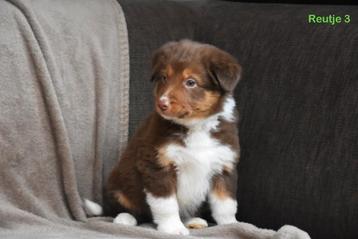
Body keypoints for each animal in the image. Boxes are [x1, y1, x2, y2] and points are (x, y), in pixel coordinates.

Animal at [85, 39, 241, 235]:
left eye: (191, 82)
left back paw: (193, 220)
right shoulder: (157, 166)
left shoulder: (223, 166)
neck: (195, 126)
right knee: (123, 207)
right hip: (119, 183)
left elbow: (225, 203)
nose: (162, 103)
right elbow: (166, 204)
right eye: (164, 77)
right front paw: (173, 228)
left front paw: (231, 225)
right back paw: (125, 219)